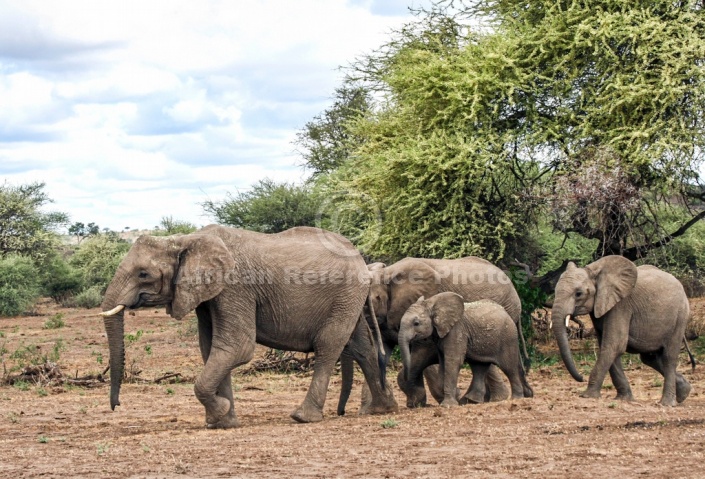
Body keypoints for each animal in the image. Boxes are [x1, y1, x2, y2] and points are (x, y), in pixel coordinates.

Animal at [99, 227, 396, 430]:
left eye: (143, 274)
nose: (117, 405)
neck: (186, 239)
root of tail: (361, 260)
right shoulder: (209, 295)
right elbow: (212, 349)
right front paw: (223, 422)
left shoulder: (234, 286)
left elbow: (236, 348)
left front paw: (220, 412)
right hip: (350, 298)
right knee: (361, 347)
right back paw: (383, 409)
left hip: (344, 294)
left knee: (329, 346)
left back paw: (303, 417)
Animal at [398, 290, 532, 406]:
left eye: (416, 323)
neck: (432, 304)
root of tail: (506, 312)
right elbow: (443, 363)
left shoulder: (457, 330)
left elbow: (453, 361)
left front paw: (447, 405)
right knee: (479, 367)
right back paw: (472, 400)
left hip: (508, 336)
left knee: (509, 367)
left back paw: (516, 399)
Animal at [552, 256, 692, 406]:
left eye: (578, 294)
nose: (581, 378)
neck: (596, 273)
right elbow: (608, 347)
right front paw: (623, 398)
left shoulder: (621, 306)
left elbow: (614, 345)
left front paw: (587, 396)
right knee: (649, 358)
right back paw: (684, 393)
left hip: (680, 316)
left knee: (668, 357)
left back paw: (666, 403)